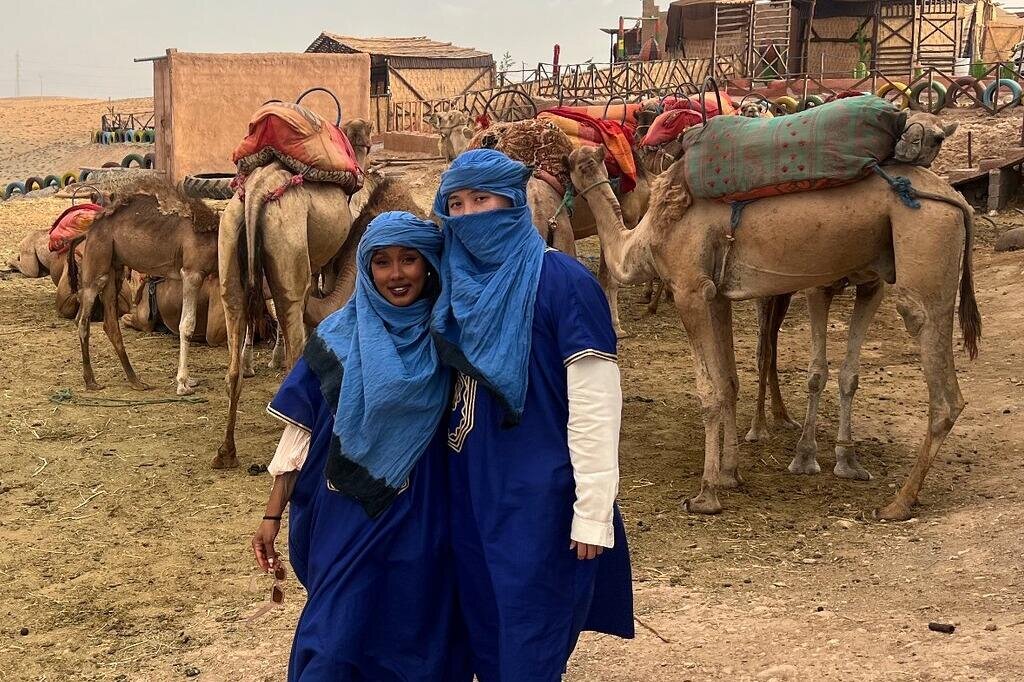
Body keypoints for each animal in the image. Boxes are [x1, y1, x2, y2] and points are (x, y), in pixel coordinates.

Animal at [67, 177, 220, 393]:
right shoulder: (193, 273)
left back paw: (136, 380)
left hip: (115, 267)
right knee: (83, 320)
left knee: (110, 324)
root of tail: (89, 231)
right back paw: (91, 381)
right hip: (97, 262)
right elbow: (187, 325)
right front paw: (182, 383)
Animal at [215, 118, 373, 469]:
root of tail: (256, 192)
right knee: (291, 343)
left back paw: (226, 452)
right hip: (288, 242)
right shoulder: (325, 260)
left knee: (233, 359)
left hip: (228, 247)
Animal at [568, 144, 980, 521]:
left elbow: (708, 392)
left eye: (573, 163)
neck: (646, 235)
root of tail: (958, 199)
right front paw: (730, 474)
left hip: (925, 237)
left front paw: (705, 495)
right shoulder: (716, 294)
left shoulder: (688, 289)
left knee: (942, 384)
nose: (566, 161)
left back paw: (898, 503)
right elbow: (728, 382)